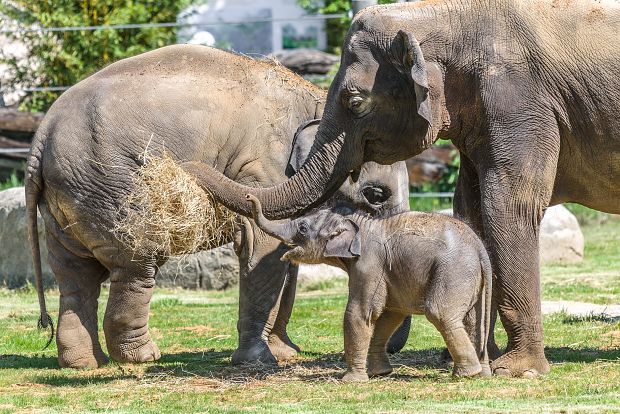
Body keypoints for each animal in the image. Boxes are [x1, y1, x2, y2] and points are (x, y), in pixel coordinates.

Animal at [26, 45, 412, 368]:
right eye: (375, 195)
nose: (186, 166)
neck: (320, 104)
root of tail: (42, 134)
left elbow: (287, 257)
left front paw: (285, 353)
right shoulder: (264, 167)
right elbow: (263, 247)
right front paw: (261, 361)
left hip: (70, 196)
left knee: (75, 275)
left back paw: (84, 363)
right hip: (110, 188)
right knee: (136, 265)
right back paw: (142, 358)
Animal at [245, 195, 492, 382]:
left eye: (303, 228)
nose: (249, 197)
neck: (359, 224)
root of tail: (480, 248)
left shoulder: (369, 264)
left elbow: (359, 313)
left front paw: (351, 381)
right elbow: (391, 314)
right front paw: (379, 373)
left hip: (453, 270)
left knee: (441, 314)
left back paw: (466, 374)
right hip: (469, 278)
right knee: (472, 320)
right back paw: (481, 374)